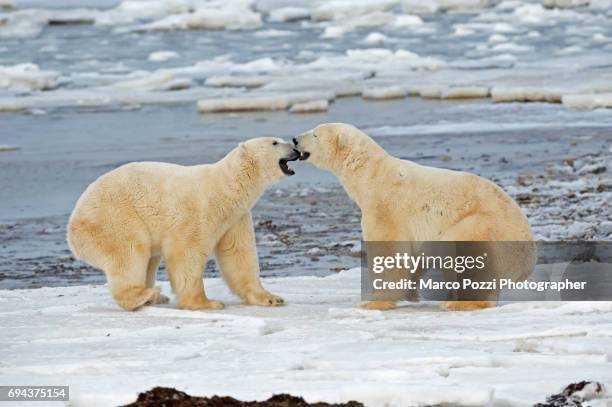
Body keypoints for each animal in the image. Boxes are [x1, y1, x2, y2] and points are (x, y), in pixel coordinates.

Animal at [67, 139, 302, 310]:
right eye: (275, 142)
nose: (296, 149)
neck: (225, 187)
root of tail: (72, 227)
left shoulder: (236, 217)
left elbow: (238, 254)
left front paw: (271, 298)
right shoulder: (197, 209)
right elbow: (186, 254)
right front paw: (205, 303)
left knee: (148, 259)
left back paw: (154, 297)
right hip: (113, 218)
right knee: (130, 251)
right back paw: (144, 295)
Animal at [292, 122, 536, 310]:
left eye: (315, 133)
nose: (294, 139)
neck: (371, 176)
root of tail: (527, 261)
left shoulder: (385, 207)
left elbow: (389, 251)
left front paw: (373, 303)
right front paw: (410, 294)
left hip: (483, 227)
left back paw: (458, 303)